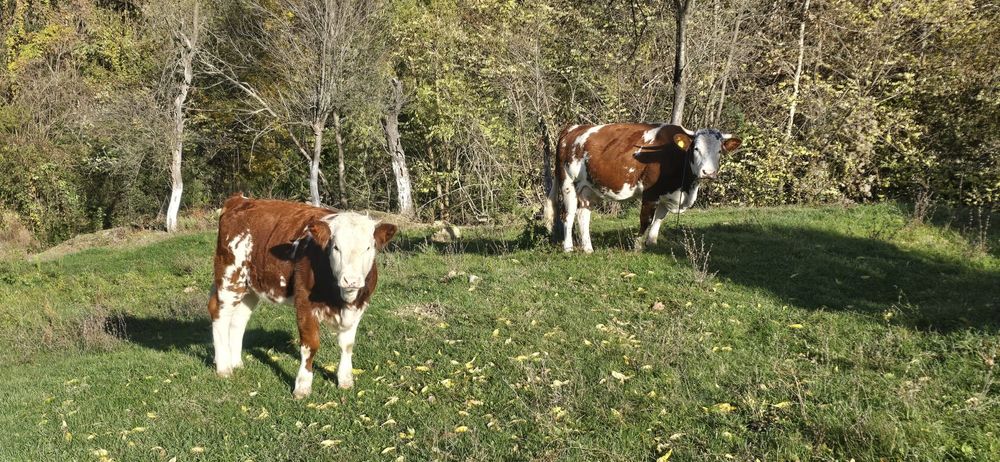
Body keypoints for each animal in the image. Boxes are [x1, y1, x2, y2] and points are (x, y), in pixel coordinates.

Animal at [207, 194, 397, 398]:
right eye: (336, 247)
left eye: (369, 248)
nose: (351, 280)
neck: (342, 300)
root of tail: (240, 199)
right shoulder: (304, 303)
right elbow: (310, 345)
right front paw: (302, 386)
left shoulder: (359, 305)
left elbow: (347, 344)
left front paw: (345, 380)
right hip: (230, 277)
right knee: (220, 315)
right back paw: (224, 367)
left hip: (250, 287)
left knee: (239, 321)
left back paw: (236, 362)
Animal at [542, 123, 741, 252]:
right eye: (696, 149)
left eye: (719, 151)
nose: (708, 172)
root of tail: (573, 129)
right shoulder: (650, 193)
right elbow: (646, 220)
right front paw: (637, 247)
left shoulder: (667, 193)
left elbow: (659, 220)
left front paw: (652, 244)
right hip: (567, 182)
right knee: (568, 215)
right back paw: (568, 247)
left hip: (587, 188)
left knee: (583, 216)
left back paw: (588, 248)